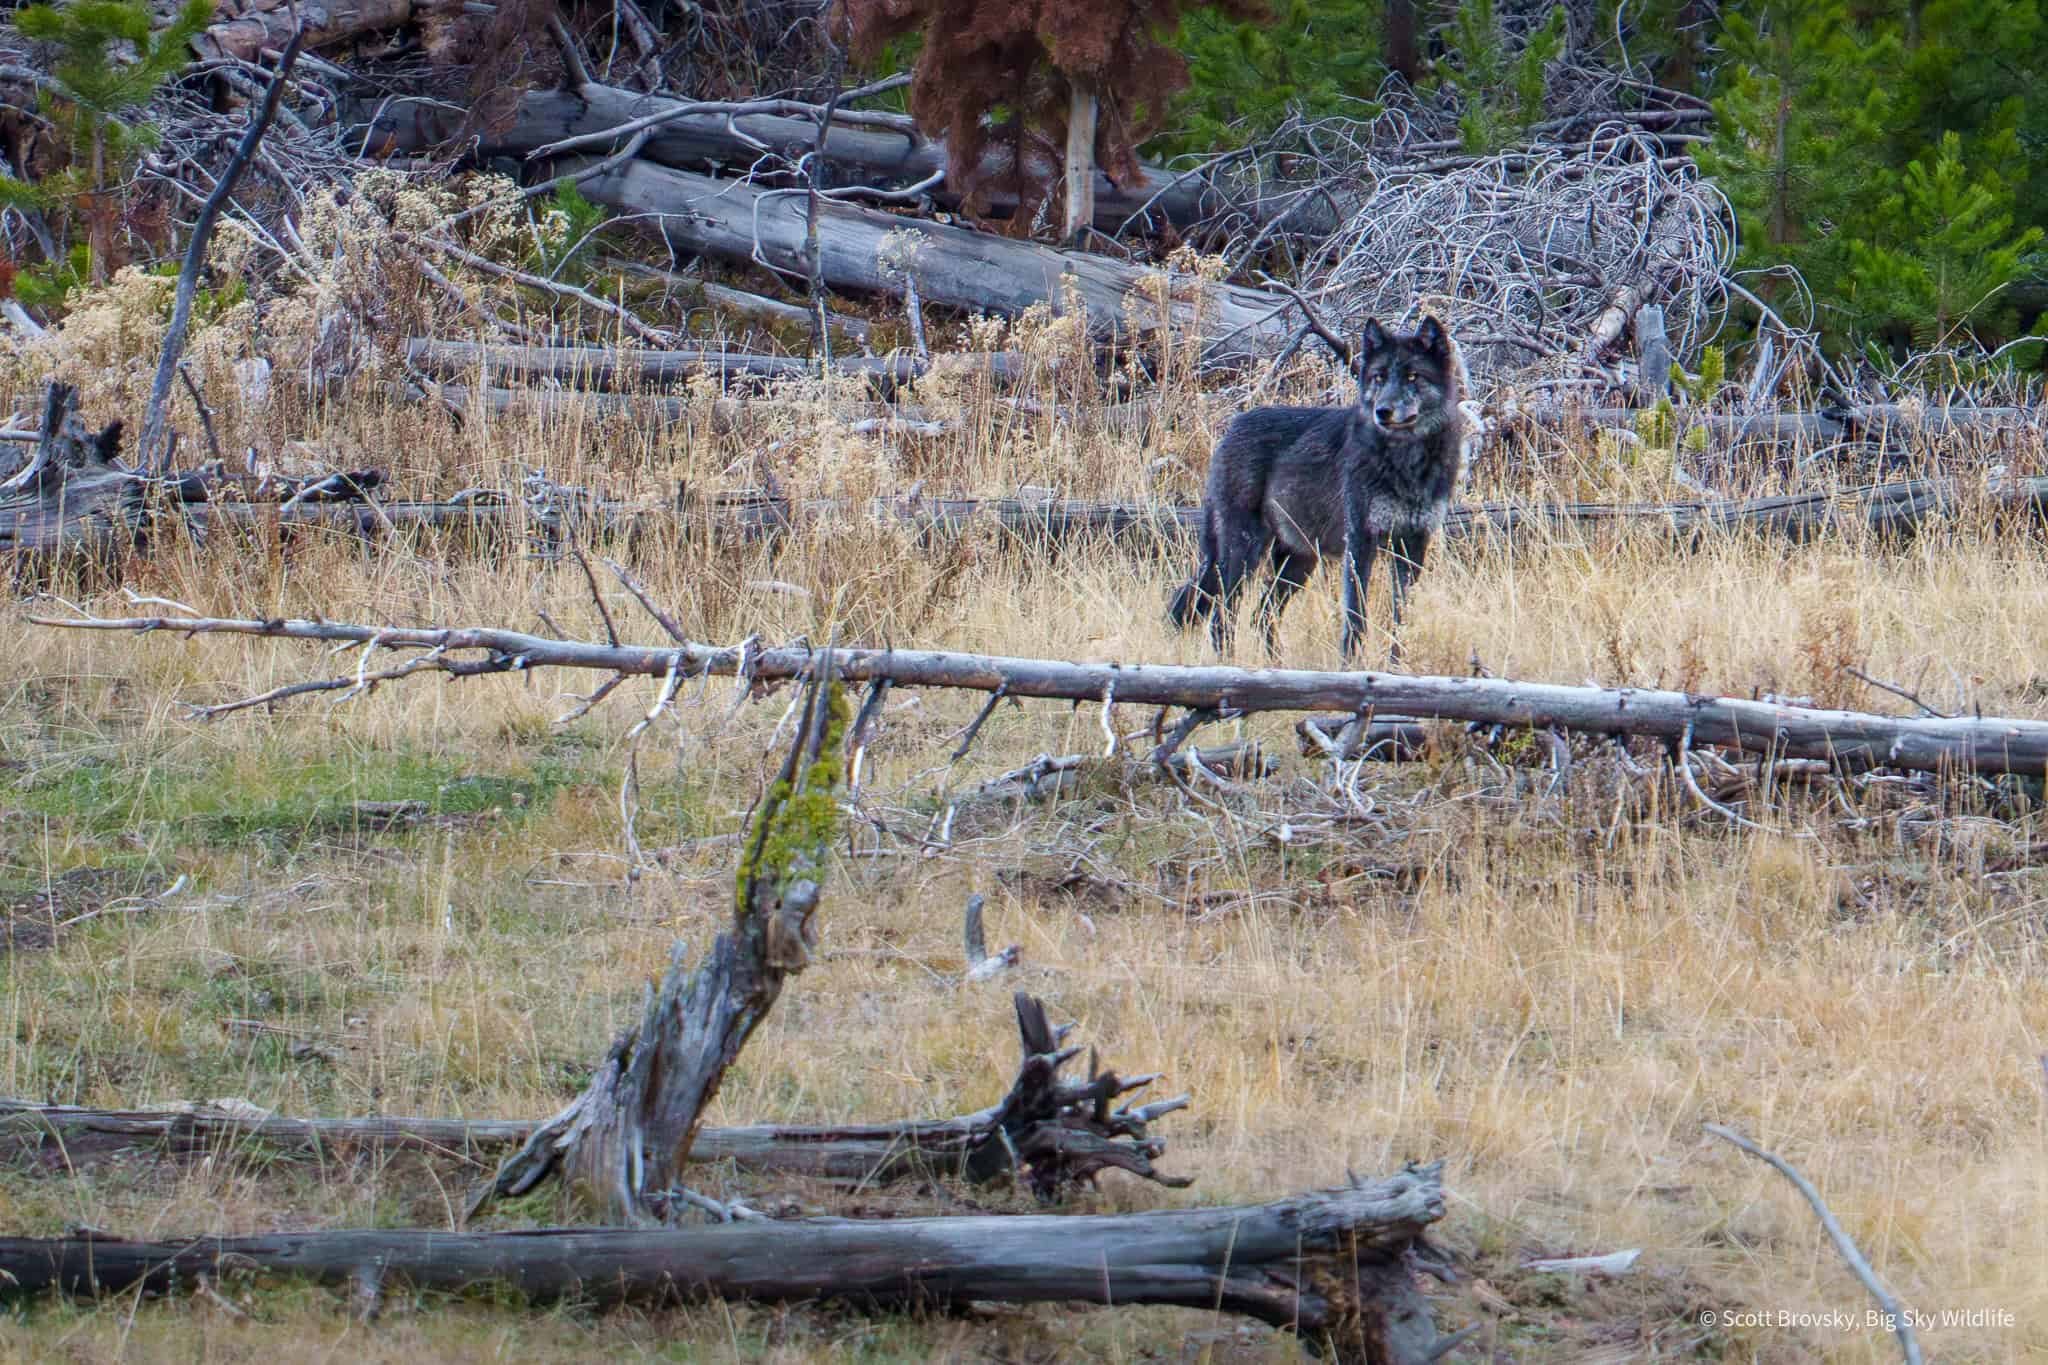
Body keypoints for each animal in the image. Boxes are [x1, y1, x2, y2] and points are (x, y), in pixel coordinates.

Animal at [1167, 315, 1474, 665]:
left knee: (1260, 615)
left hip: (1297, 562)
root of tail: (1233, 426)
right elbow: (1356, 616)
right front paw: (1351, 666)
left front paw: (1395, 666)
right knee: (1222, 618)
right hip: (1244, 554)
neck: (1405, 463)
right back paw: (1232, 667)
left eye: (1413, 376)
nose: (1382, 411)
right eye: (1379, 377)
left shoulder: (1413, 547)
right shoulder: (1360, 542)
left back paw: (1278, 667)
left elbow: (1400, 620)